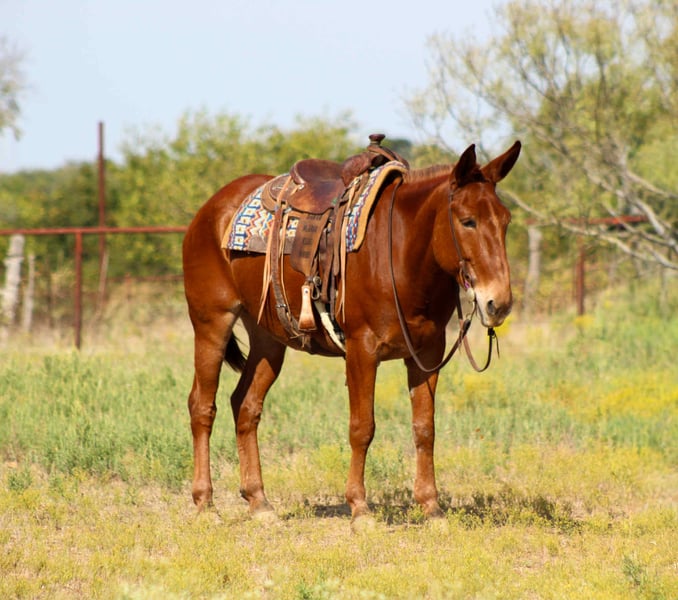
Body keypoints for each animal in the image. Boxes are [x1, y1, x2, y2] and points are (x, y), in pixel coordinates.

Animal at [182, 139, 521, 526]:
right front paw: (360, 508)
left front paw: (431, 507)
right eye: (468, 221)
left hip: (269, 339)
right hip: (212, 322)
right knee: (202, 406)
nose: (498, 303)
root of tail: (210, 210)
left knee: (245, 406)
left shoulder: (428, 354)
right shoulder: (362, 350)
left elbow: (424, 428)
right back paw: (205, 502)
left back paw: (259, 501)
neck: (398, 252)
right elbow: (362, 428)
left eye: (505, 221)